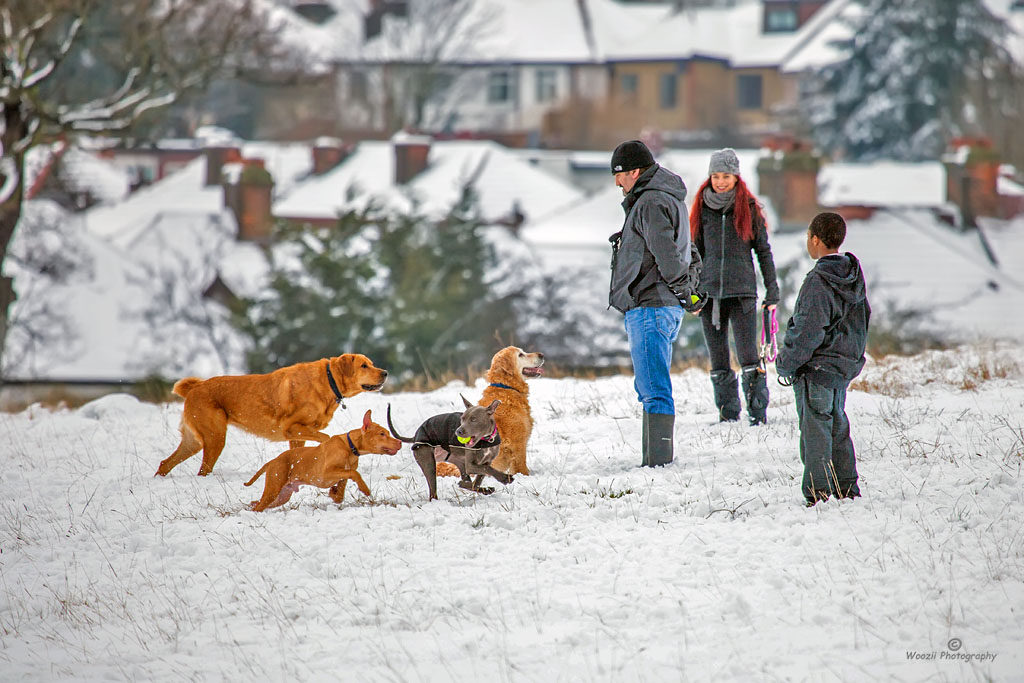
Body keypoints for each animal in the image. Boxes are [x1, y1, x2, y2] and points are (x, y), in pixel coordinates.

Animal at [154, 356, 387, 479]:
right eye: (363, 366)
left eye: (371, 363)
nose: (385, 372)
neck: (328, 382)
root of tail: (196, 387)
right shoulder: (291, 427)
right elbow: (326, 437)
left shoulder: (297, 436)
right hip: (215, 437)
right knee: (203, 469)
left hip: (193, 441)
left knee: (165, 463)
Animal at [243, 409, 399, 509]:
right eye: (382, 434)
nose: (400, 442)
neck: (350, 447)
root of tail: (274, 460)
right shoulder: (324, 474)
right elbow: (354, 473)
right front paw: (365, 489)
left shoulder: (342, 474)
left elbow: (344, 484)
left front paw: (334, 493)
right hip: (273, 489)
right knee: (259, 506)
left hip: (281, 496)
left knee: (257, 503)